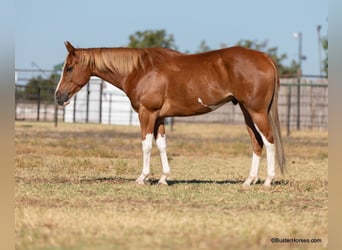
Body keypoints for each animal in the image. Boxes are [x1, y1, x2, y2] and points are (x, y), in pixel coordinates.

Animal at [56, 40, 284, 186]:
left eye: (69, 68)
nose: (58, 96)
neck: (140, 70)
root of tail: (265, 58)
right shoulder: (159, 117)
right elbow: (162, 145)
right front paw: (164, 178)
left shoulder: (147, 114)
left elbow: (146, 145)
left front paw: (143, 177)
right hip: (247, 112)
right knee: (256, 142)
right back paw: (249, 180)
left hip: (257, 112)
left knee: (269, 140)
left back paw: (268, 180)